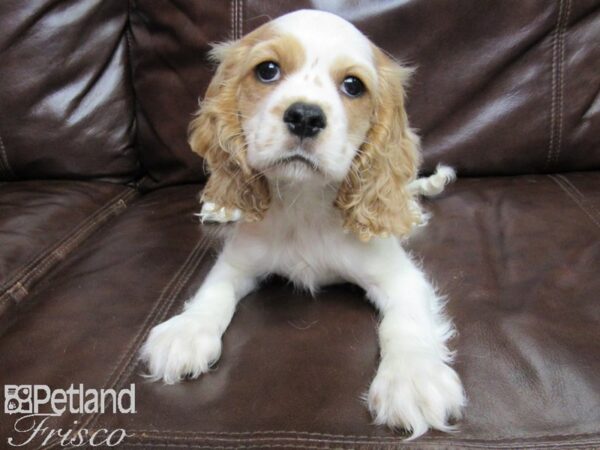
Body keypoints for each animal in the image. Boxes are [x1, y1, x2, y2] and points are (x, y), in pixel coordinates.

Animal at [141, 9, 464, 440]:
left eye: (352, 85)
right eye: (267, 70)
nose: (305, 116)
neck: (305, 201)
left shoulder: (400, 278)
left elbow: (403, 324)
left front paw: (412, 378)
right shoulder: (237, 261)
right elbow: (213, 293)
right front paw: (187, 331)